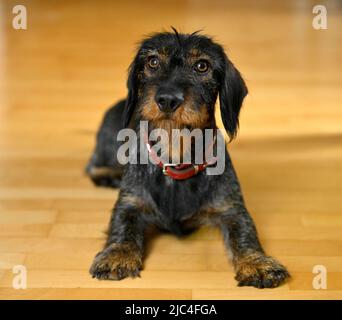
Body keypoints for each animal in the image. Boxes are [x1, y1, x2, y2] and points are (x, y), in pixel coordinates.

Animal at [85, 30, 288, 288]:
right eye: (152, 61)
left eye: (202, 65)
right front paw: (117, 255)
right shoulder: (129, 202)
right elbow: (121, 225)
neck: (175, 154)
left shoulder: (231, 208)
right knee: (93, 163)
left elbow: (245, 233)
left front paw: (257, 263)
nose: (167, 99)